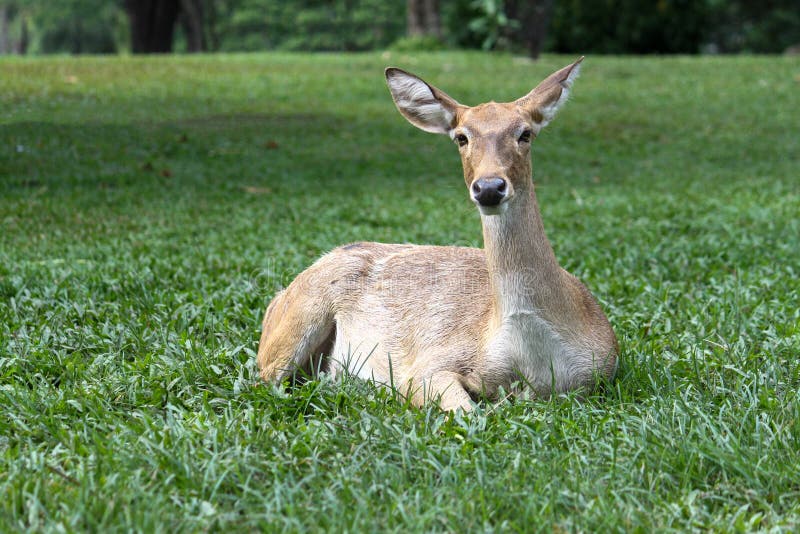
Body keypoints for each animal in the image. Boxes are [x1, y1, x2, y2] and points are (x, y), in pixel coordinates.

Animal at [257, 57, 618, 411]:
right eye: (461, 137)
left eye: (525, 133)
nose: (489, 187)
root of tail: (277, 298)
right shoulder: (429, 363)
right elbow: (463, 410)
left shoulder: (602, 371)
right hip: (297, 321)